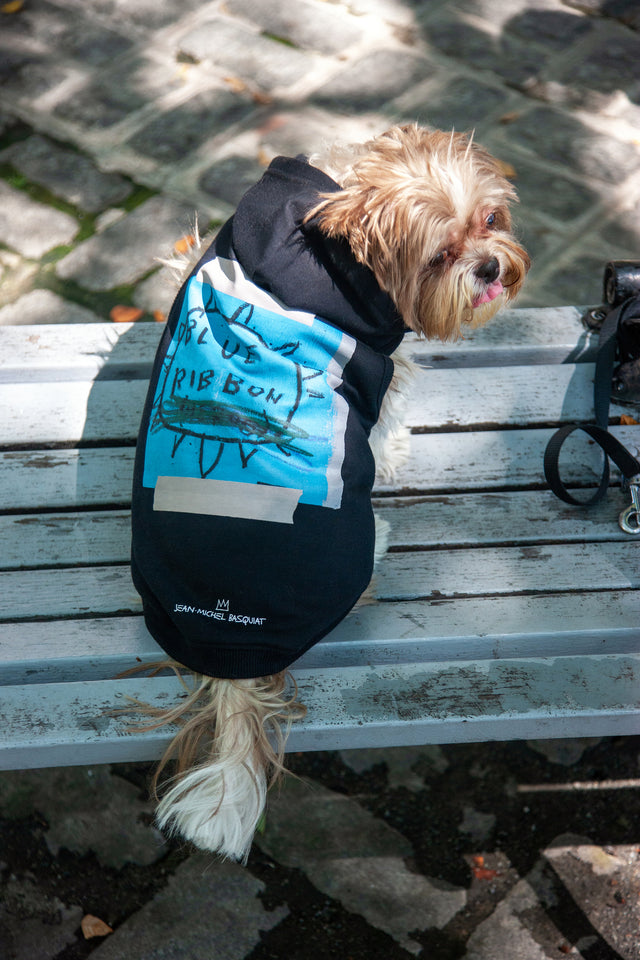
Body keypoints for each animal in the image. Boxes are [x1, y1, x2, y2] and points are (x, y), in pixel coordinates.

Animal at [130, 122, 528, 864]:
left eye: (490, 221)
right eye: (440, 256)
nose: (489, 268)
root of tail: (231, 652)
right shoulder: (380, 365)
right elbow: (387, 416)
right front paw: (393, 450)